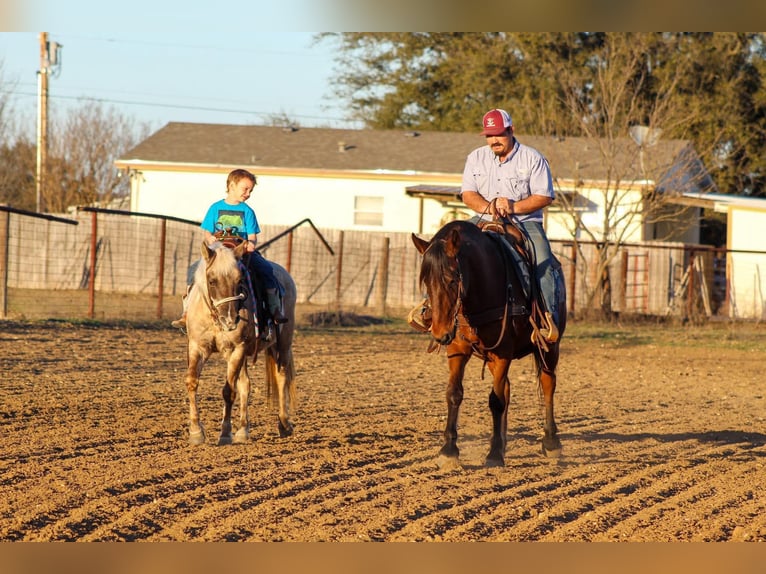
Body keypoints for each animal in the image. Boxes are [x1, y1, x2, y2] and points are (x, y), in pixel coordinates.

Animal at [181, 240, 297, 446]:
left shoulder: (237, 349)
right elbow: (192, 382)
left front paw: (225, 433)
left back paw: (284, 424)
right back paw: (243, 430)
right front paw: (196, 432)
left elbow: (229, 391)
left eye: (239, 281)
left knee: (281, 376)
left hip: (283, 343)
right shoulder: (197, 347)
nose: (230, 320)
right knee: (245, 384)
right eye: (212, 280)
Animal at [412, 219, 567, 468]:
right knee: (507, 388)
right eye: (426, 281)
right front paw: (449, 451)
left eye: (453, 279)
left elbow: (496, 400)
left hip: (551, 347)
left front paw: (493, 454)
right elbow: (454, 393)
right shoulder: (457, 350)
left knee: (547, 384)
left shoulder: (503, 352)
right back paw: (503, 442)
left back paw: (551, 442)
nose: (440, 334)